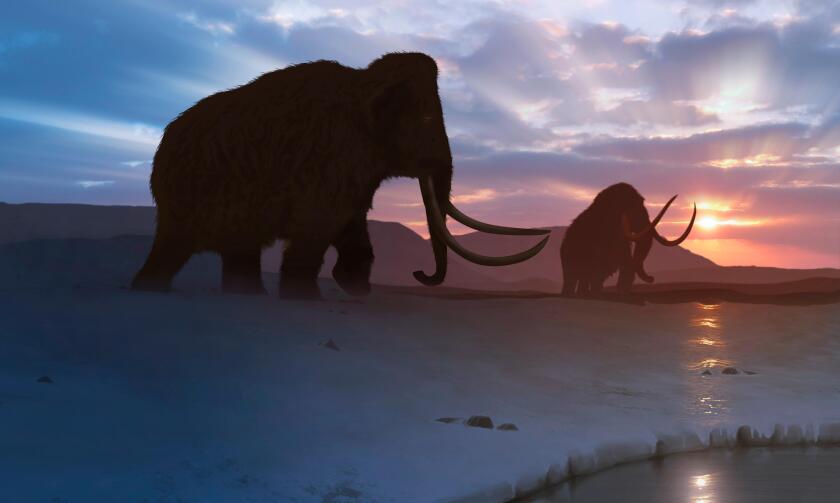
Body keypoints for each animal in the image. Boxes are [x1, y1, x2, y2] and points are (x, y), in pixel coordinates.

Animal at [131, 52, 550, 299]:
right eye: (429, 119)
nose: (419, 273)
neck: (363, 84)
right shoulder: (330, 160)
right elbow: (317, 228)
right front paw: (305, 299)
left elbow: (352, 224)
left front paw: (354, 285)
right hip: (185, 204)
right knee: (174, 253)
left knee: (238, 255)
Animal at [560, 182, 696, 296]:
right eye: (634, 207)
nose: (652, 278)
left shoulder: (622, 244)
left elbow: (624, 268)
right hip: (568, 260)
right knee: (573, 280)